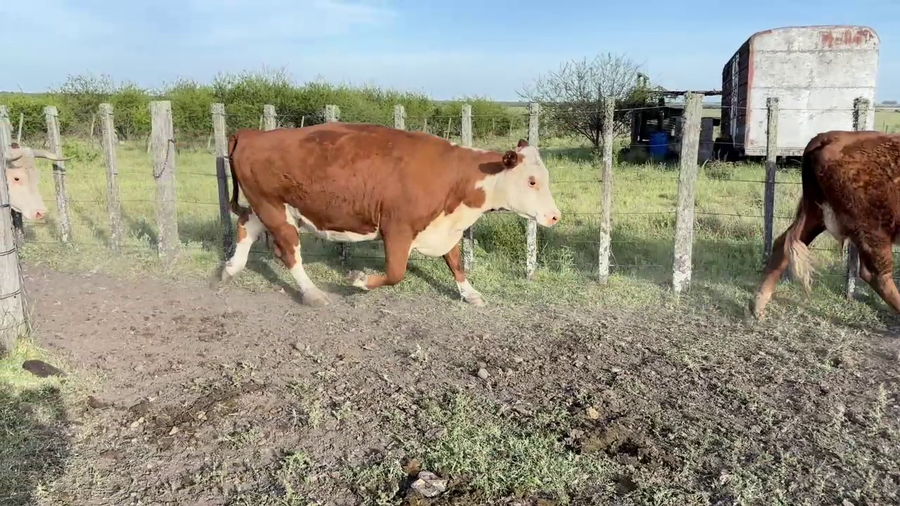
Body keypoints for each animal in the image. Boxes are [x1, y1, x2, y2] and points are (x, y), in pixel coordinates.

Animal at [213, 122, 562, 307]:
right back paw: (313, 293)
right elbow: (395, 273)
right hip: (274, 209)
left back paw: (230, 269)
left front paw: (470, 293)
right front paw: (359, 280)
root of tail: (253, 134)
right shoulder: (397, 228)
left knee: (245, 226)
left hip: (269, 207)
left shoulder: (443, 227)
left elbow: (455, 262)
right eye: (532, 181)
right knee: (288, 252)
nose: (555, 216)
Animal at [750, 130, 900, 319]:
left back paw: (757, 305)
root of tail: (828, 137)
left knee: (781, 244)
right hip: (873, 229)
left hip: (815, 214)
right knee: (876, 274)